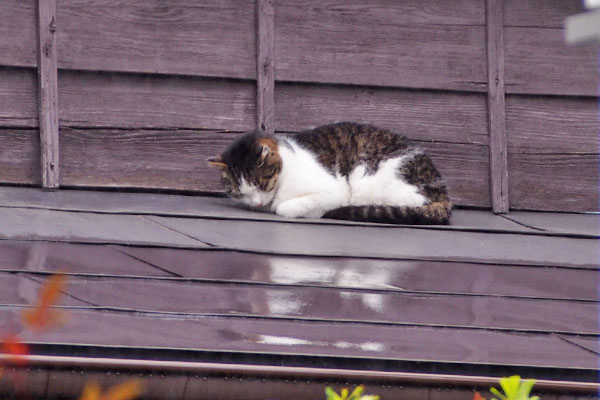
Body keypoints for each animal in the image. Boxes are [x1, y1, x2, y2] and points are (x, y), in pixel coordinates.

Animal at [209, 121, 452, 225]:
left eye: (260, 184)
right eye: (240, 192)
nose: (257, 203)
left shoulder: (333, 192)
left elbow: (283, 207)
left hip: (370, 180)